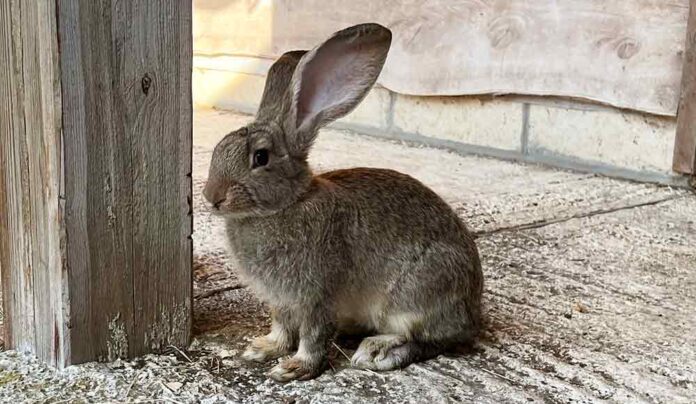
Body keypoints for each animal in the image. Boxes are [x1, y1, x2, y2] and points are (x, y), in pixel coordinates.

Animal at [204, 23, 482, 384]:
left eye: (261, 157)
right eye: (219, 148)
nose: (212, 197)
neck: (288, 203)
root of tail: (473, 309)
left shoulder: (317, 294)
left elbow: (313, 334)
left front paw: (295, 367)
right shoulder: (280, 300)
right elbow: (281, 326)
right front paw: (263, 348)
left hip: (416, 294)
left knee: (427, 339)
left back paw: (377, 351)